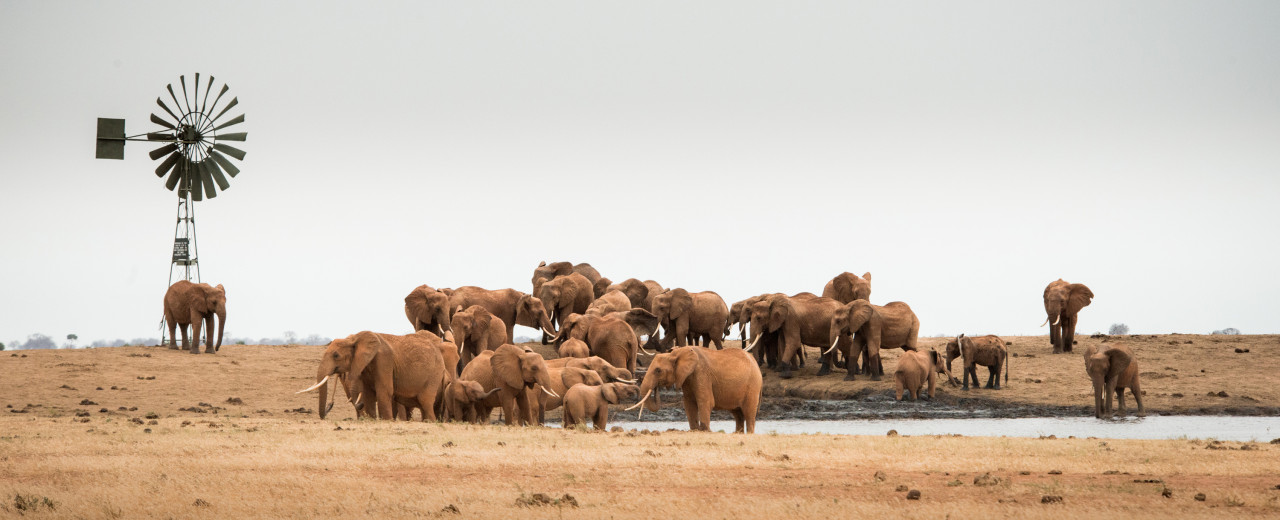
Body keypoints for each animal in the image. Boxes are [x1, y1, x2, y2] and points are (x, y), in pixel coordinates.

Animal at [298, 330, 448, 420]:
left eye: (336, 355)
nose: (327, 410)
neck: (355, 339)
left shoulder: (384, 360)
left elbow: (384, 391)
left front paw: (386, 421)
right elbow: (367, 394)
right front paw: (371, 420)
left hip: (434, 373)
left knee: (425, 401)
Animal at [627, 345, 757, 435]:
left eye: (658, 370)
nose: (656, 388)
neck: (677, 353)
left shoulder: (701, 373)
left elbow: (706, 401)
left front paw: (705, 431)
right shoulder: (687, 378)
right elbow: (688, 403)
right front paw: (695, 430)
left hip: (753, 384)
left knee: (748, 412)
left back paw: (749, 433)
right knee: (737, 413)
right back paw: (739, 433)